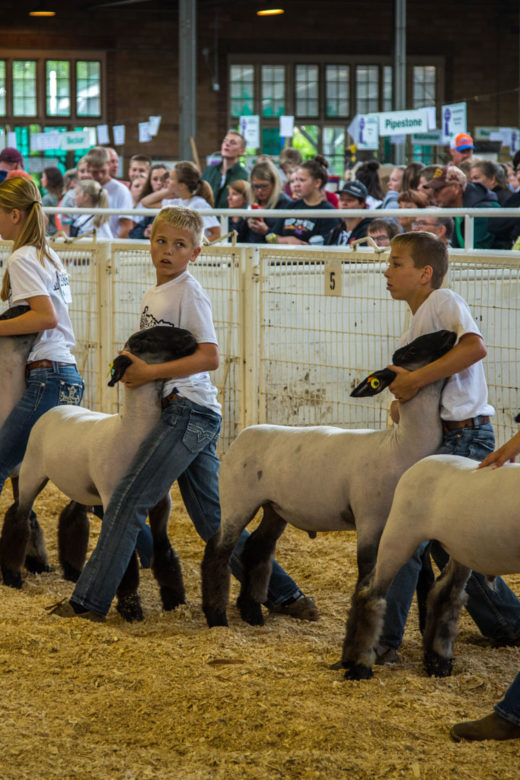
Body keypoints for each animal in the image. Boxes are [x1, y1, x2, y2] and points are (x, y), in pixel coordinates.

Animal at [0, 322, 198, 620]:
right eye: (147, 339)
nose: (192, 338)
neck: (130, 430)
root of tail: (57, 407)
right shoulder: (113, 497)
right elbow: (125, 558)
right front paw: (131, 609)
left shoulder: (161, 503)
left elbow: (164, 549)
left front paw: (175, 600)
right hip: (32, 473)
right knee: (19, 516)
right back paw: (12, 576)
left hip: (80, 485)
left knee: (71, 516)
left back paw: (72, 570)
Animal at [201, 330, 458, 644]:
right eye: (408, 353)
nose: (449, 333)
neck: (401, 446)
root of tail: (242, 434)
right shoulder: (369, 521)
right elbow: (366, 575)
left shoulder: (414, 531)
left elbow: (425, 580)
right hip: (237, 500)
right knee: (218, 551)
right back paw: (217, 618)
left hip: (275, 507)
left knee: (257, 548)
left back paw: (252, 614)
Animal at [344, 454, 520, 680]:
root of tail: (421, 463)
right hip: (399, 536)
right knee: (371, 596)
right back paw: (360, 665)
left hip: (460, 549)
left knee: (445, 595)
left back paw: (438, 662)